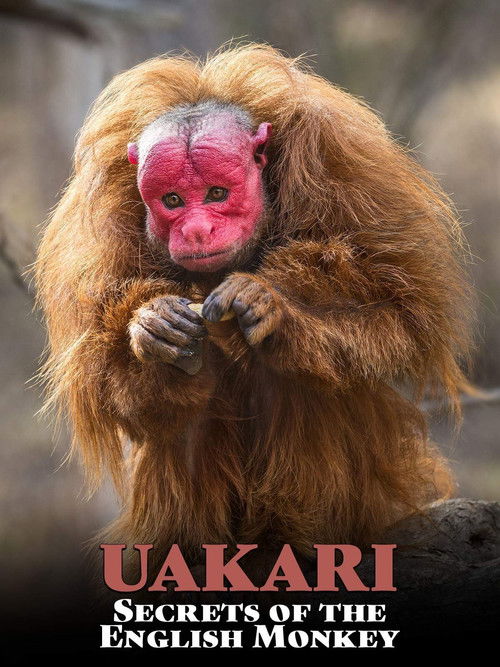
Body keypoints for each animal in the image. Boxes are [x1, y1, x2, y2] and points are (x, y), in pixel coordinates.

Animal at [35, 44, 471, 558]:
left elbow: (403, 310)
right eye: (173, 200)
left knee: (297, 377)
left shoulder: (340, 166)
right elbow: (102, 376)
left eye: (217, 194)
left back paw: (298, 537)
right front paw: (152, 329)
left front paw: (272, 308)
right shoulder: (101, 221)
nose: (196, 230)